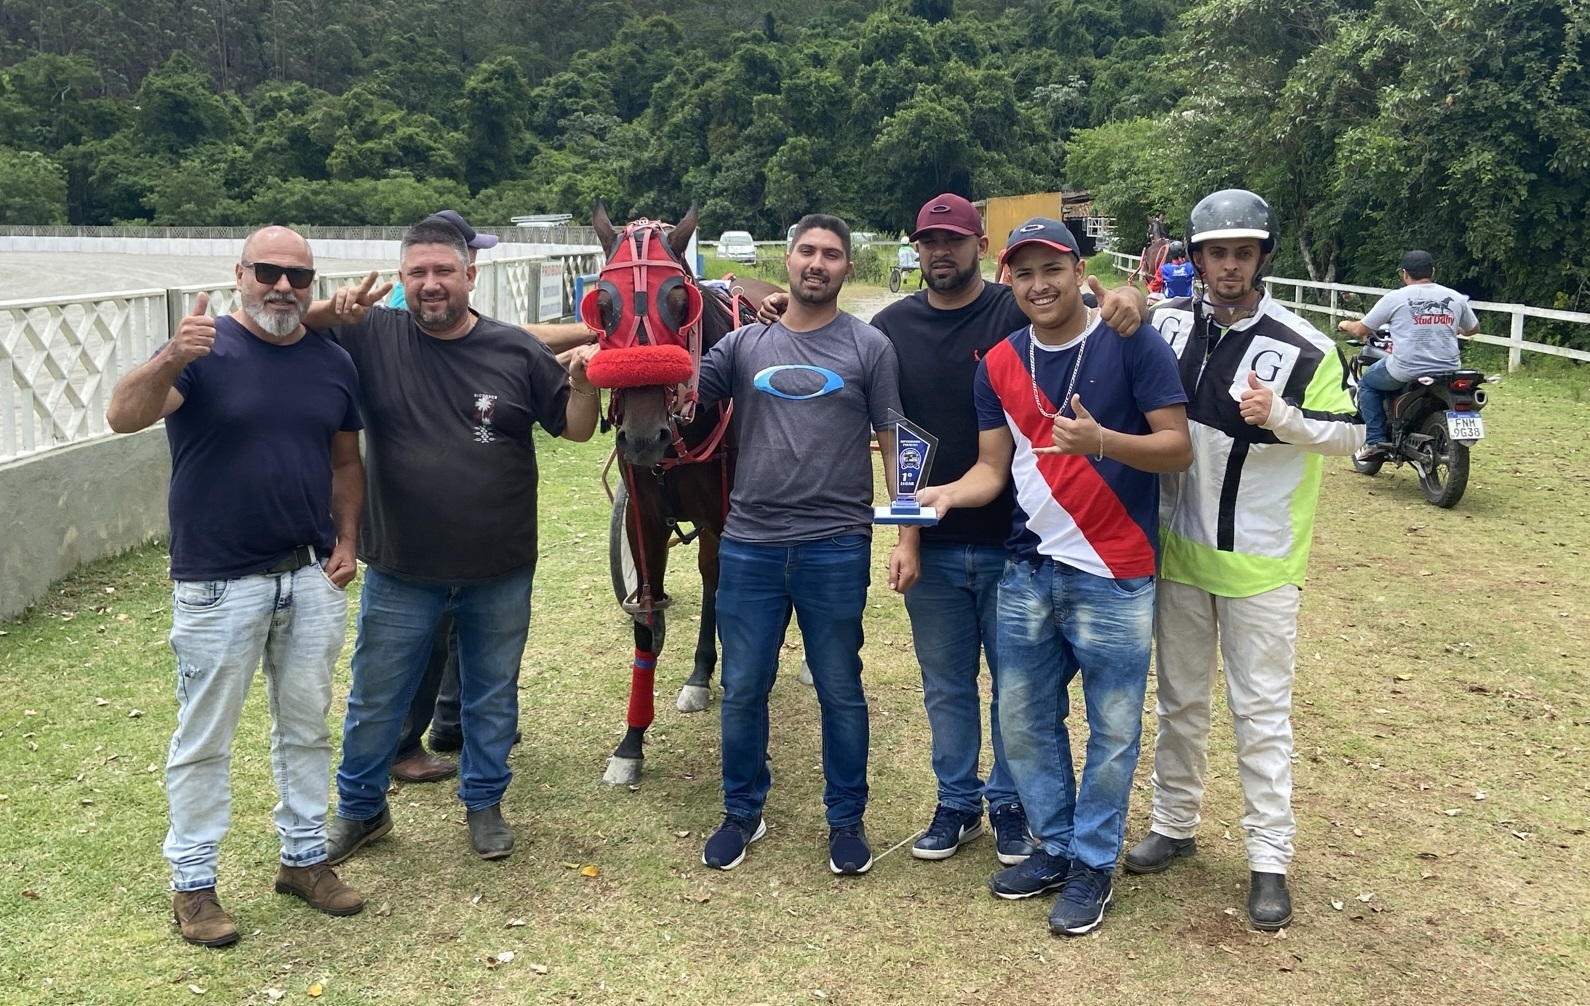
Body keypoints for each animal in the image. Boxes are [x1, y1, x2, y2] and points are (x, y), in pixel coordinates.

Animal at [581, 200, 781, 785]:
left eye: (679, 302)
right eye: (602, 305)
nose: (646, 436)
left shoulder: (735, 514)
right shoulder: (641, 520)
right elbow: (646, 622)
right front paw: (631, 744)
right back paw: (700, 673)